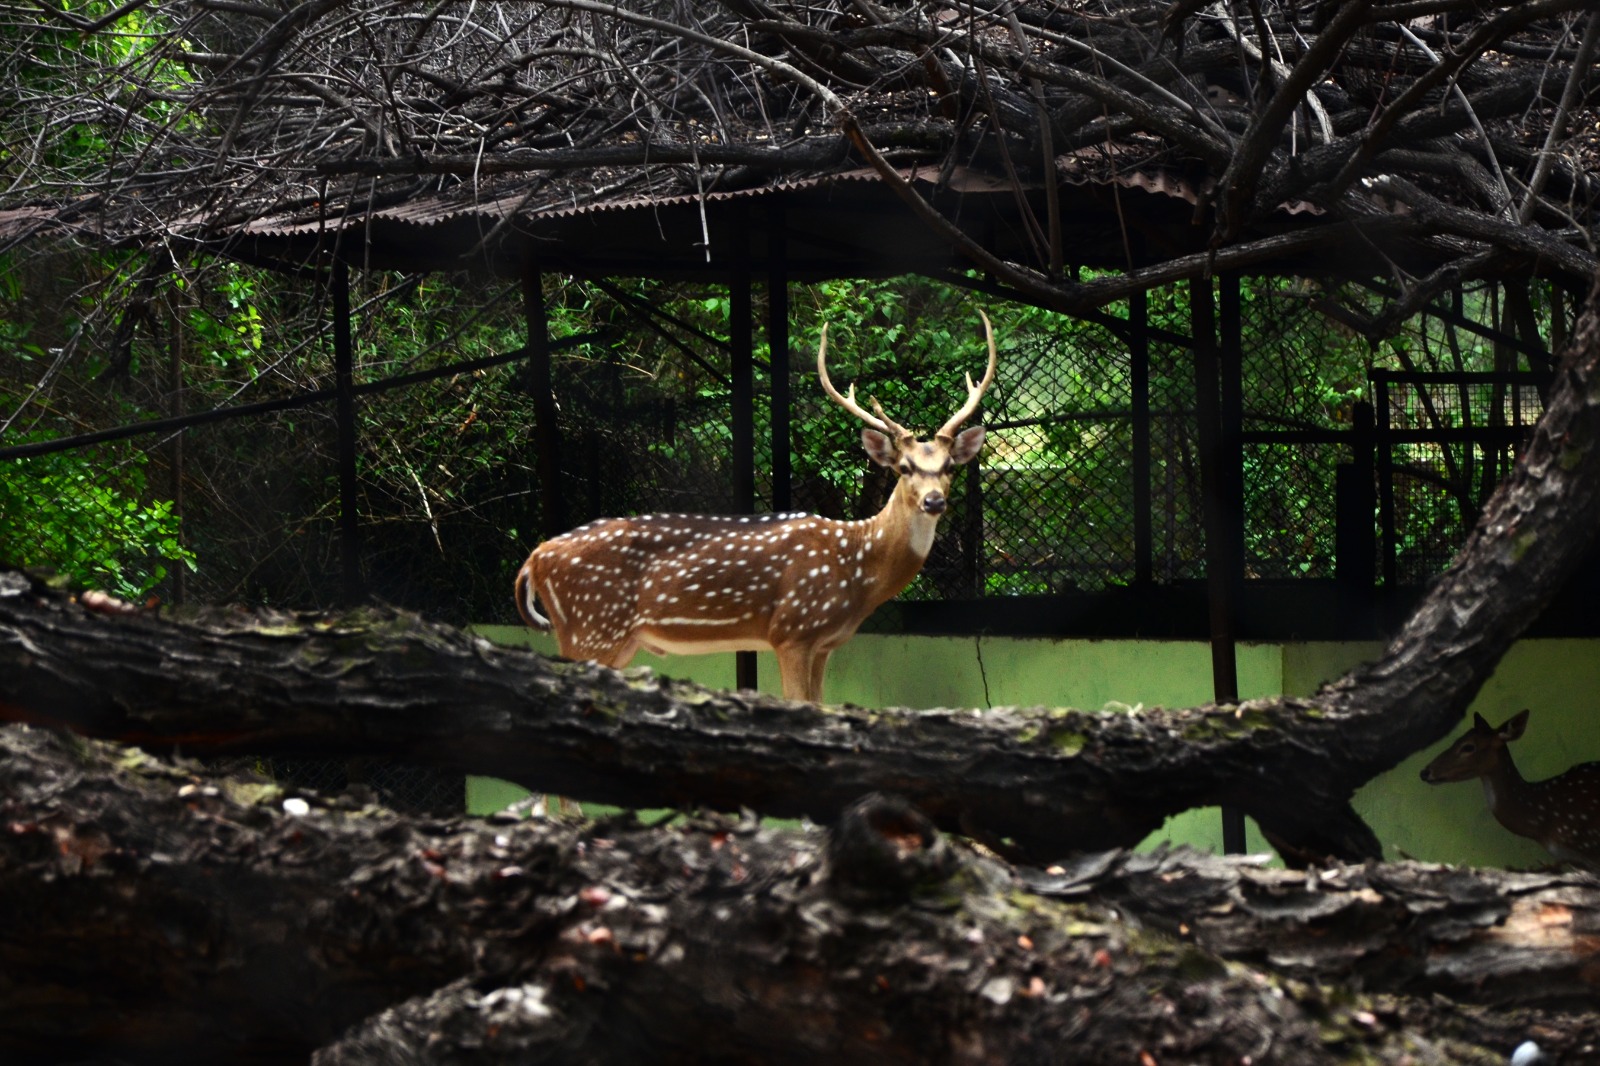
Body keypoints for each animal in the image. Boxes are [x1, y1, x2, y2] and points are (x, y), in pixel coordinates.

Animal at [513, 311, 998, 704]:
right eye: (903, 467)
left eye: (949, 466)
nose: (934, 500)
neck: (857, 566)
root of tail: (533, 559)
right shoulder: (792, 630)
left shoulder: (824, 644)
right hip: (591, 624)